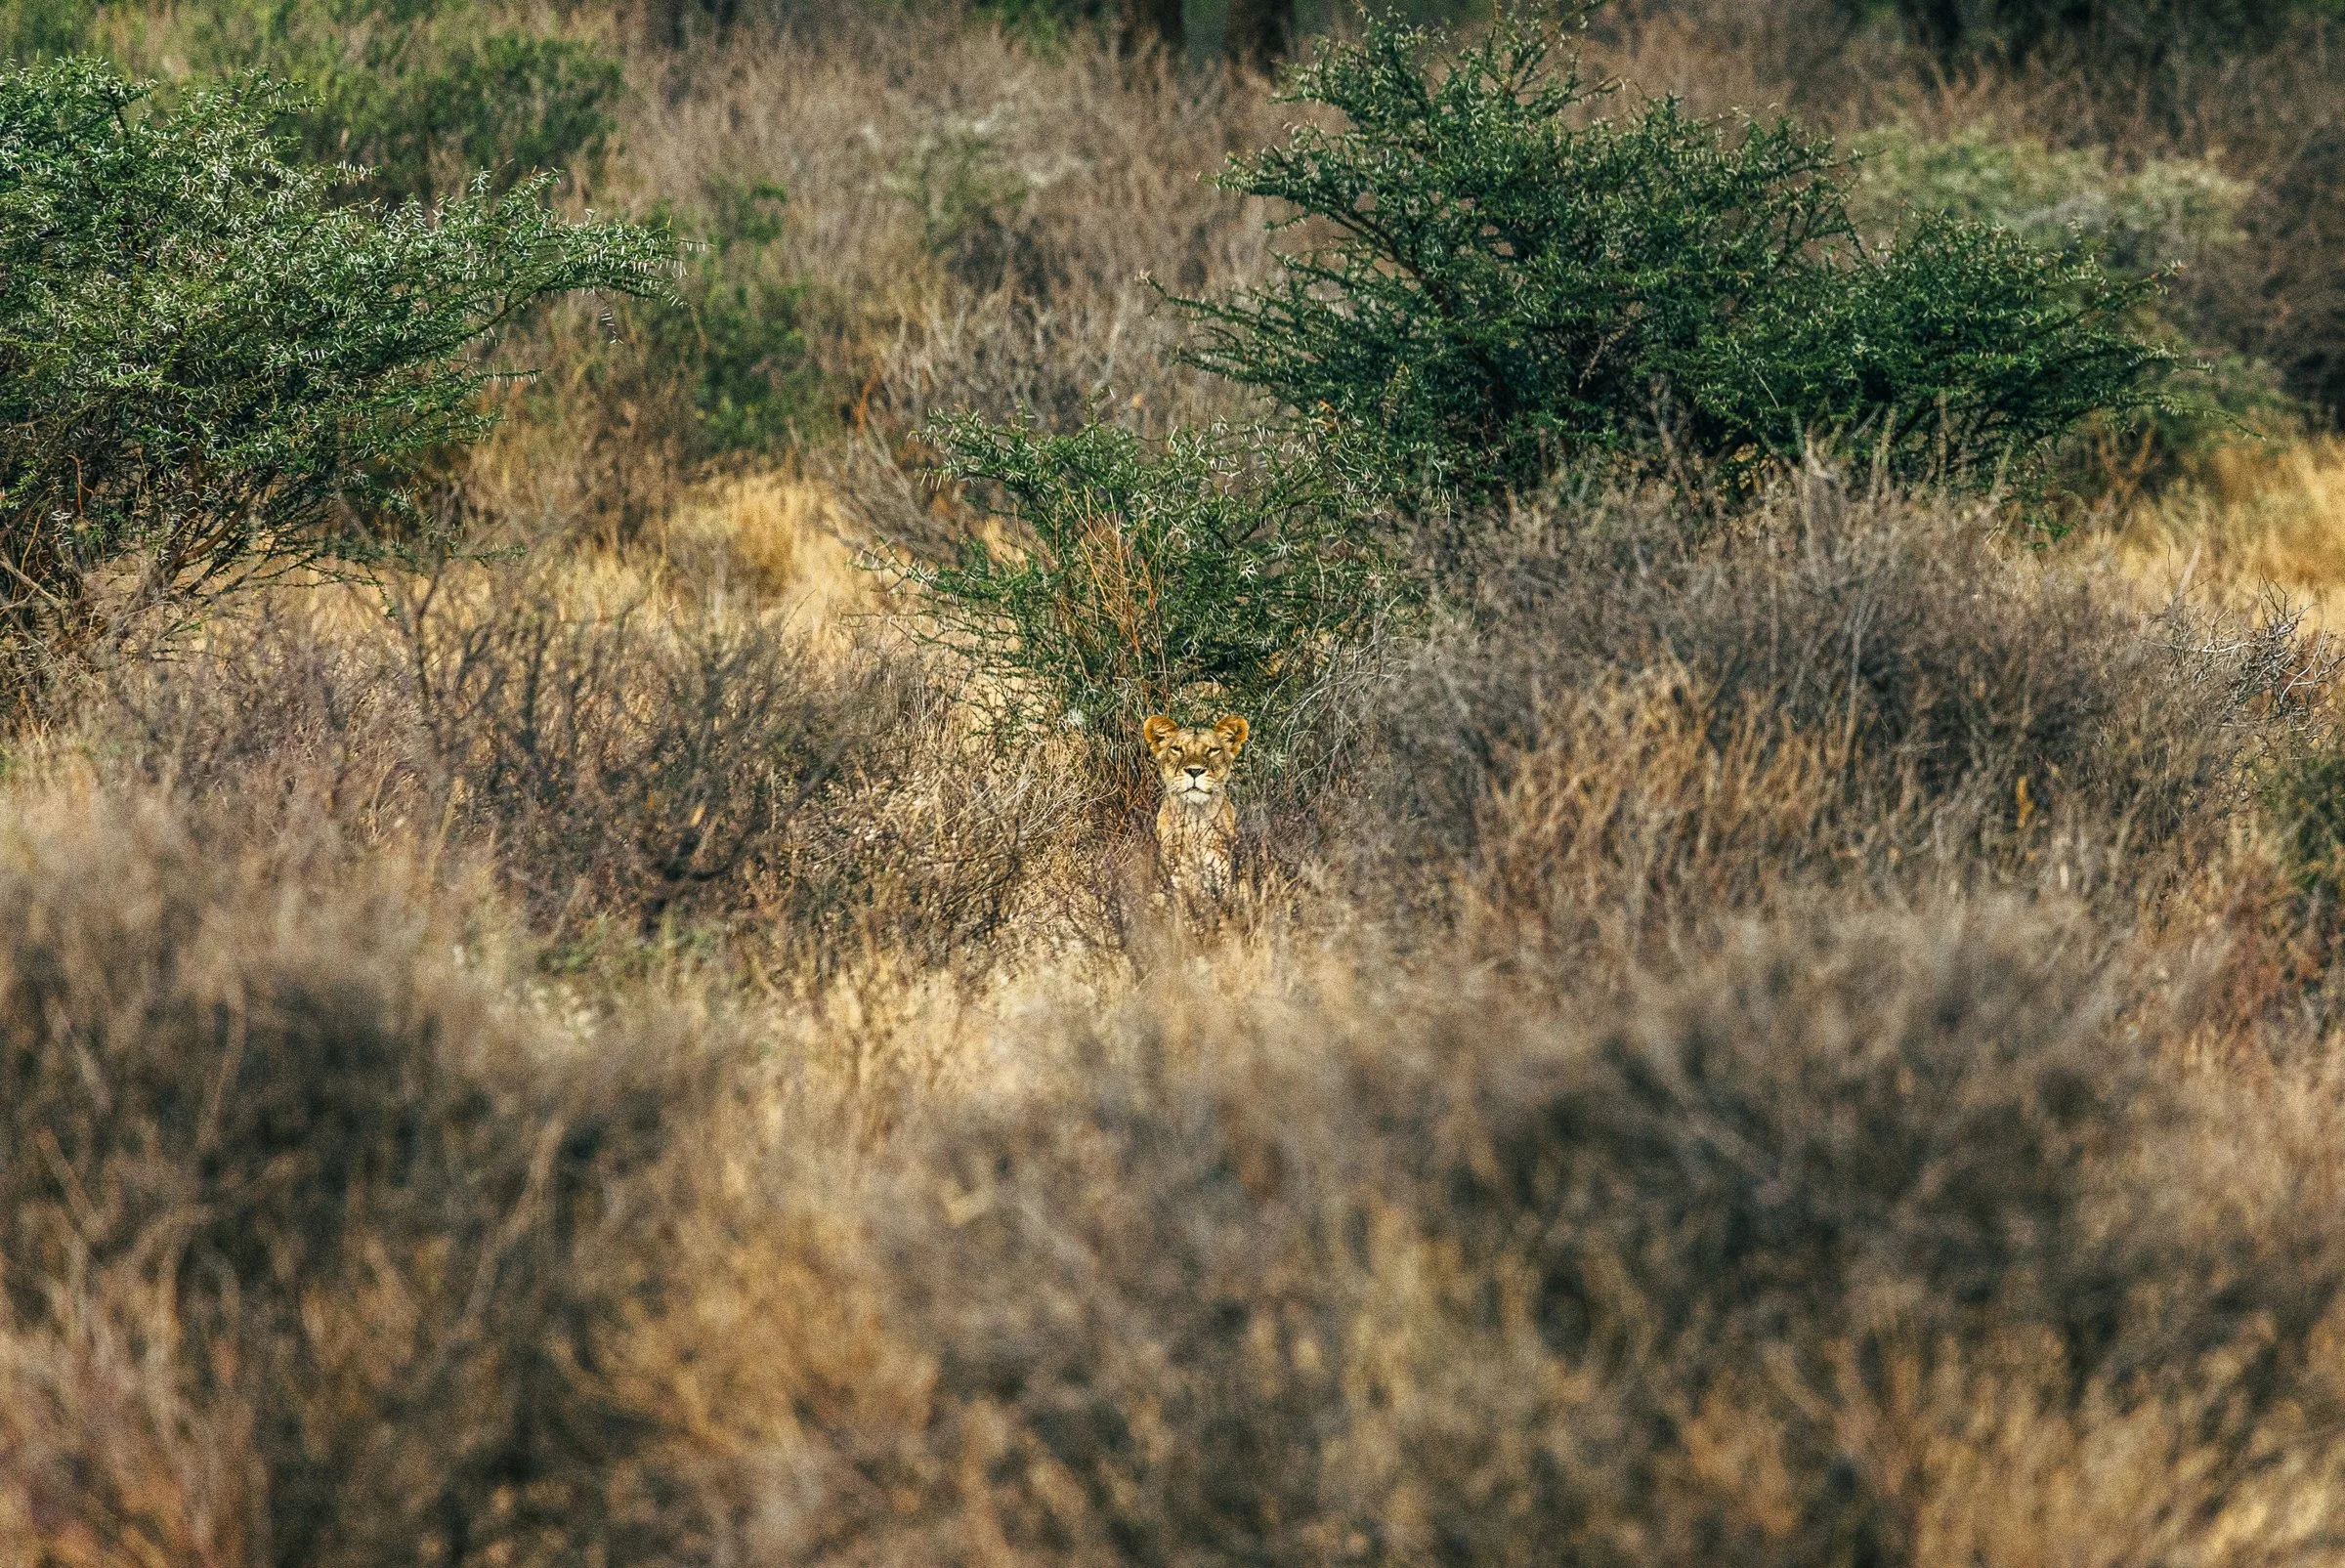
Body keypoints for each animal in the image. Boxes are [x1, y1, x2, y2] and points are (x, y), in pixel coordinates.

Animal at [1143, 712, 1250, 906]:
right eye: (1177, 749)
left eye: (1213, 750)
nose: (1194, 771)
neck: (1195, 820)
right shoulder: (1176, 882)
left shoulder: (1226, 880)